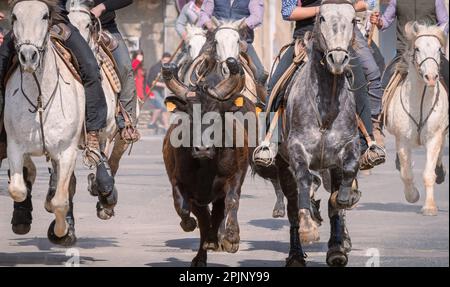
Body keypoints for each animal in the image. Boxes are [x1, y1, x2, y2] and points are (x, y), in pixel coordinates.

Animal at [4, 0, 83, 245]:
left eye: (44, 16)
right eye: (14, 16)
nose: (28, 57)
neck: (39, 97)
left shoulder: (67, 151)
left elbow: (60, 200)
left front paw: (61, 232)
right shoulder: (14, 146)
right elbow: (18, 188)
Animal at [384, 22, 448, 216]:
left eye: (439, 49)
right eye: (417, 48)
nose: (431, 77)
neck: (420, 100)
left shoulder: (434, 136)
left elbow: (428, 173)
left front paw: (429, 207)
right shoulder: (402, 140)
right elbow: (406, 174)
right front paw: (413, 196)